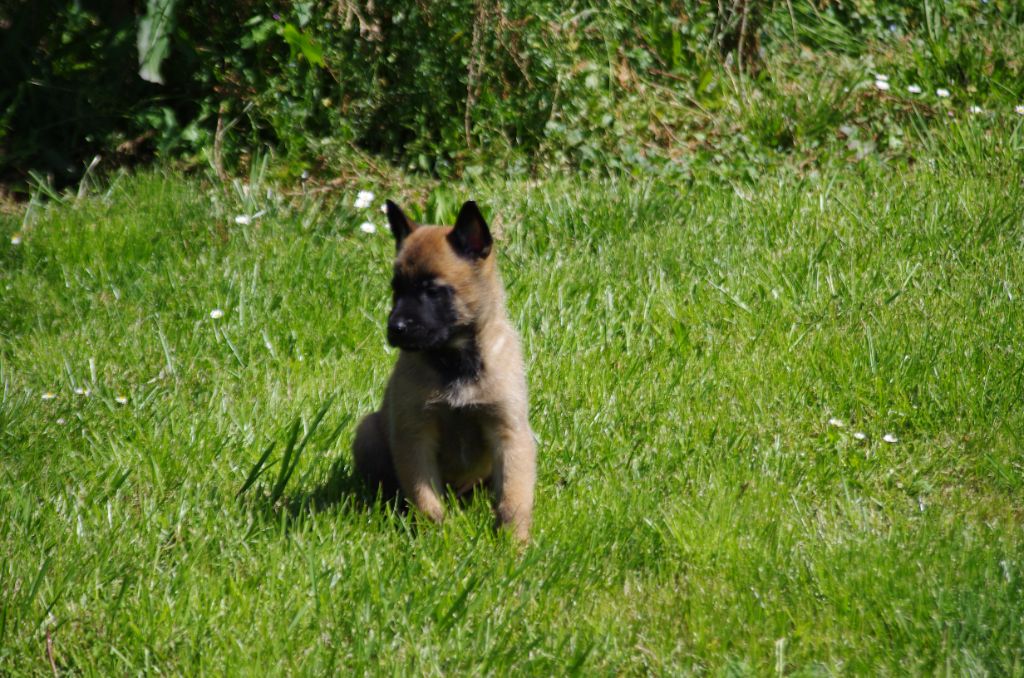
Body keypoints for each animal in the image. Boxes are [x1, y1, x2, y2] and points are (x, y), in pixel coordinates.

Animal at [354, 200, 536, 540]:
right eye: (396, 290)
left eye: (433, 291)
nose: (394, 328)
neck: (455, 362)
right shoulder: (415, 436)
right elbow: (425, 497)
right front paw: (436, 537)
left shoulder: (509, 433)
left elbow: (513, 498)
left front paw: (514, 542)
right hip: (368, 431)